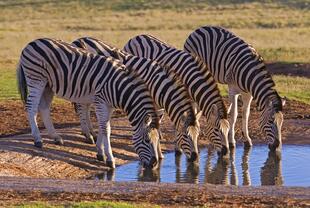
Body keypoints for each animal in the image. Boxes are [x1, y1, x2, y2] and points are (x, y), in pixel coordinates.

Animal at [16, 37, 162, 169]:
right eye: (147, 140)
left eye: (158, 140)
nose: (154, 164)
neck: (119, 87)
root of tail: (31, 43)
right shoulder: (101, 102)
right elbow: (106, 129)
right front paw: (110, 159)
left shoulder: (109, 106)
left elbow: (104, 127)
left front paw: (100, 153)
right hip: (36, 79)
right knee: (31, 107)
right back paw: (38, 139)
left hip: (48, 85)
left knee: (44, 108)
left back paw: (56, 137)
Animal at [70, 36, 201, 162]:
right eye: (186, 136)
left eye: (198, 135)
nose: (195, 158)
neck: (157, 85)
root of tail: (78, 39)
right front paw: (158, 153)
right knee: (82, 107)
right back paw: (88, 135)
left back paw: (91, 133)